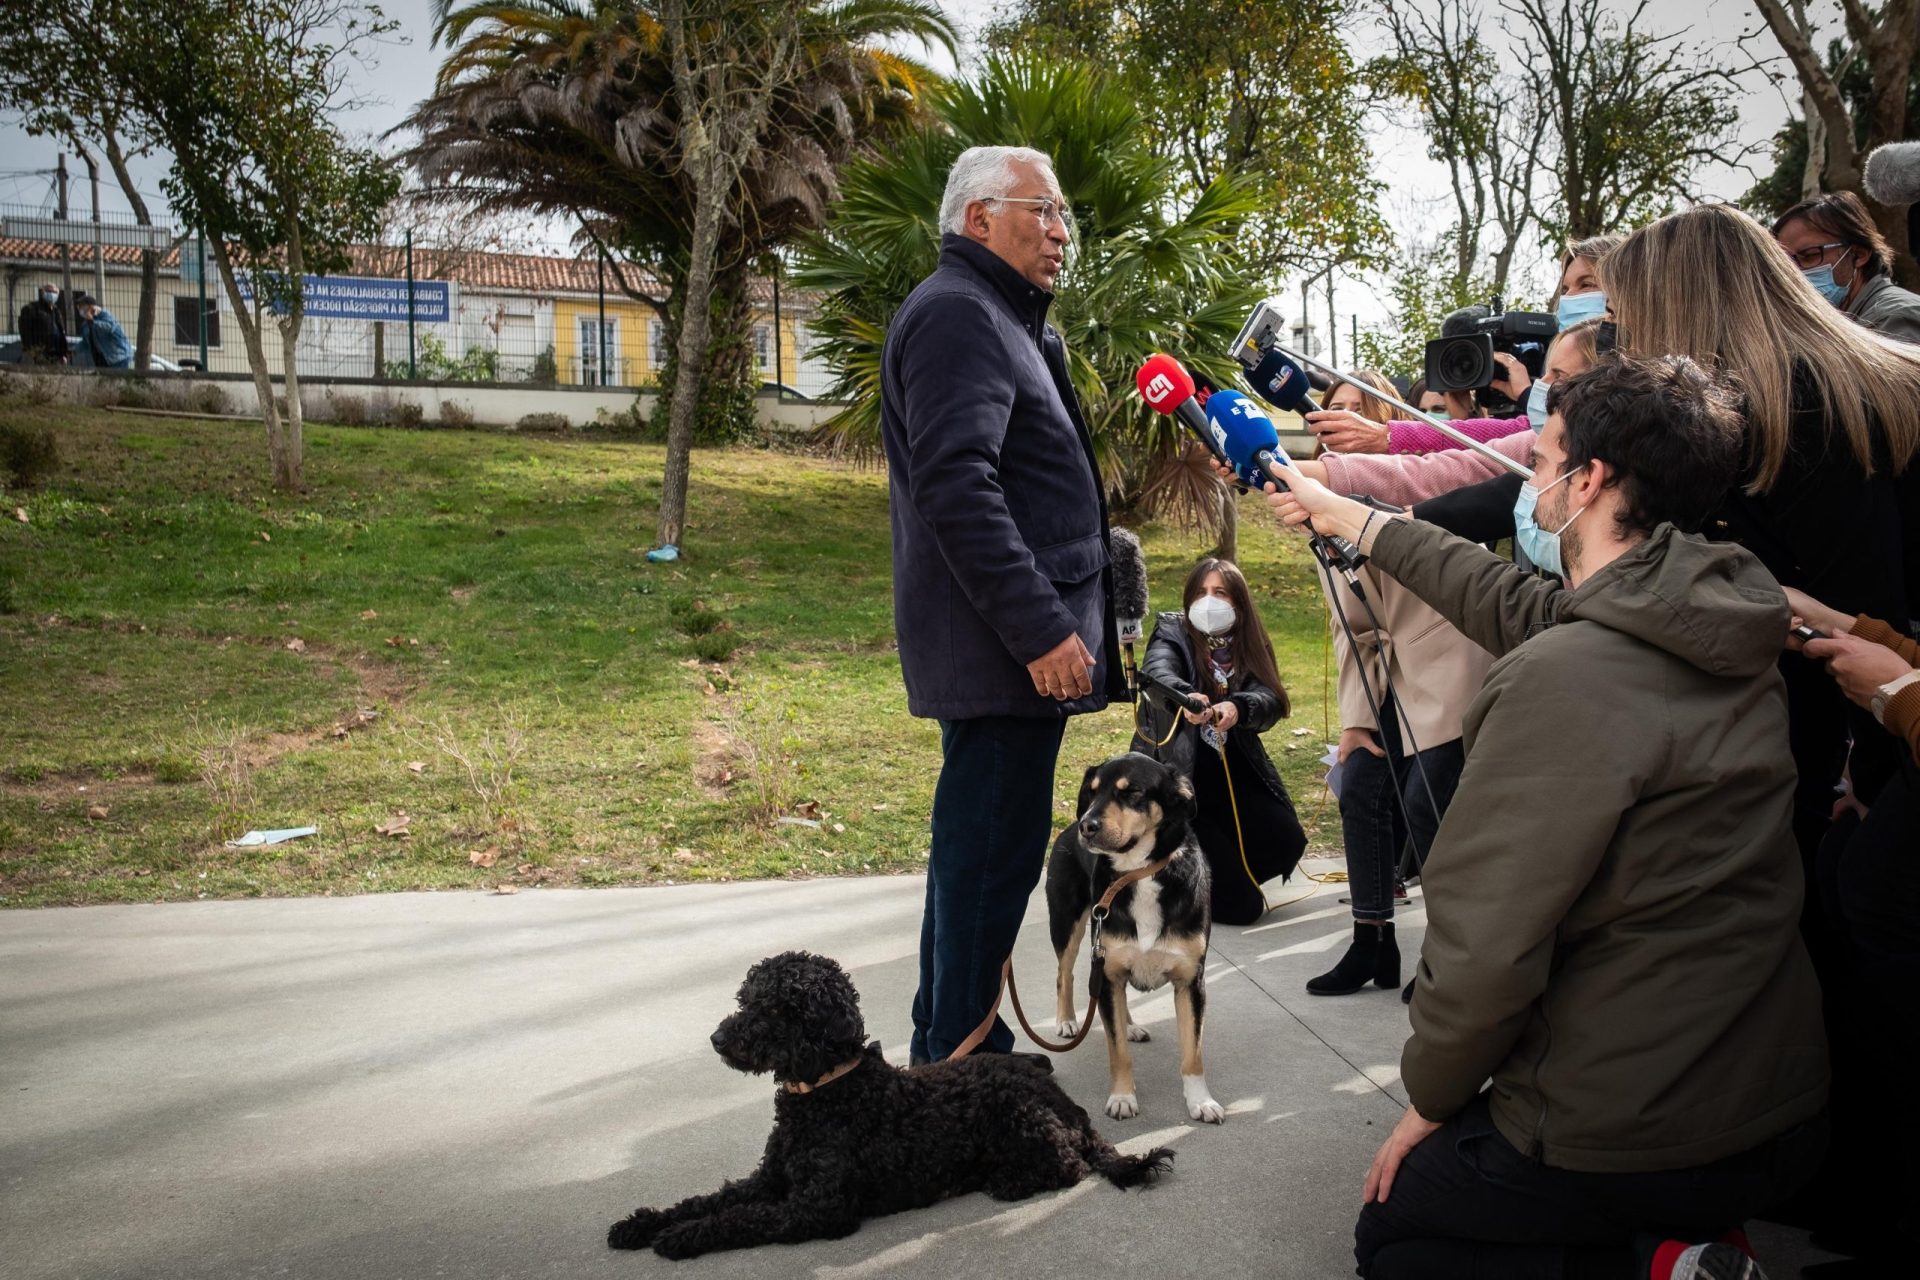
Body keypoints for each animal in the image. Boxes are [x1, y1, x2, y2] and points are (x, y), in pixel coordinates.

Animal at [606, 951, 1167, 1258]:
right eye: (746, 1000)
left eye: (778, 1009)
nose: (717, 1039)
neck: (827, 1090)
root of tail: (1065, 1102)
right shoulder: (770, 1178)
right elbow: (710, 1199)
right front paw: (643, 1223)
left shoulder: (818, 1209)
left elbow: (741, 1218)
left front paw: (682, 1236)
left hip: (1023, 1118)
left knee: (1069, 1164)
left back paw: (1006, 1181)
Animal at [1044, 756, 1221, 1128]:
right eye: (1093, 791)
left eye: (1133, 792)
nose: (1087, 826)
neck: (1138, 874)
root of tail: (1066, 828)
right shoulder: (1107, 971)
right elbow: (1118, 1055)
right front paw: (1123, 1097)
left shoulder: (1190, 983)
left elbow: (1193, 1053)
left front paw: (1200, 1100)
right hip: (1068, 924)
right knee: (1064, 974)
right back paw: (1066, 1020)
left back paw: (1131, 1026)